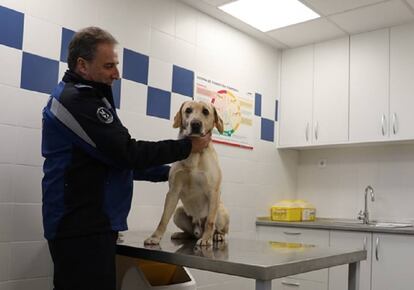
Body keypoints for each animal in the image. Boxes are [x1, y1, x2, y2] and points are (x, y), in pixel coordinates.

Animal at [144, 101, 230, 246]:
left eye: (205, 111)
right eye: (188, 110)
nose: (195, 124)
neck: (194, 154)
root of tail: (198, 229)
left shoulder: (213, 192)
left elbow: (210, 222)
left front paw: (206, 239)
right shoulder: (173, 192)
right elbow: (163, 219)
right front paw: (155, 237)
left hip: (220, 210)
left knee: (217, 227)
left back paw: (216, 236)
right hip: (178, 213)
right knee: (190, 234)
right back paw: (181, 234)